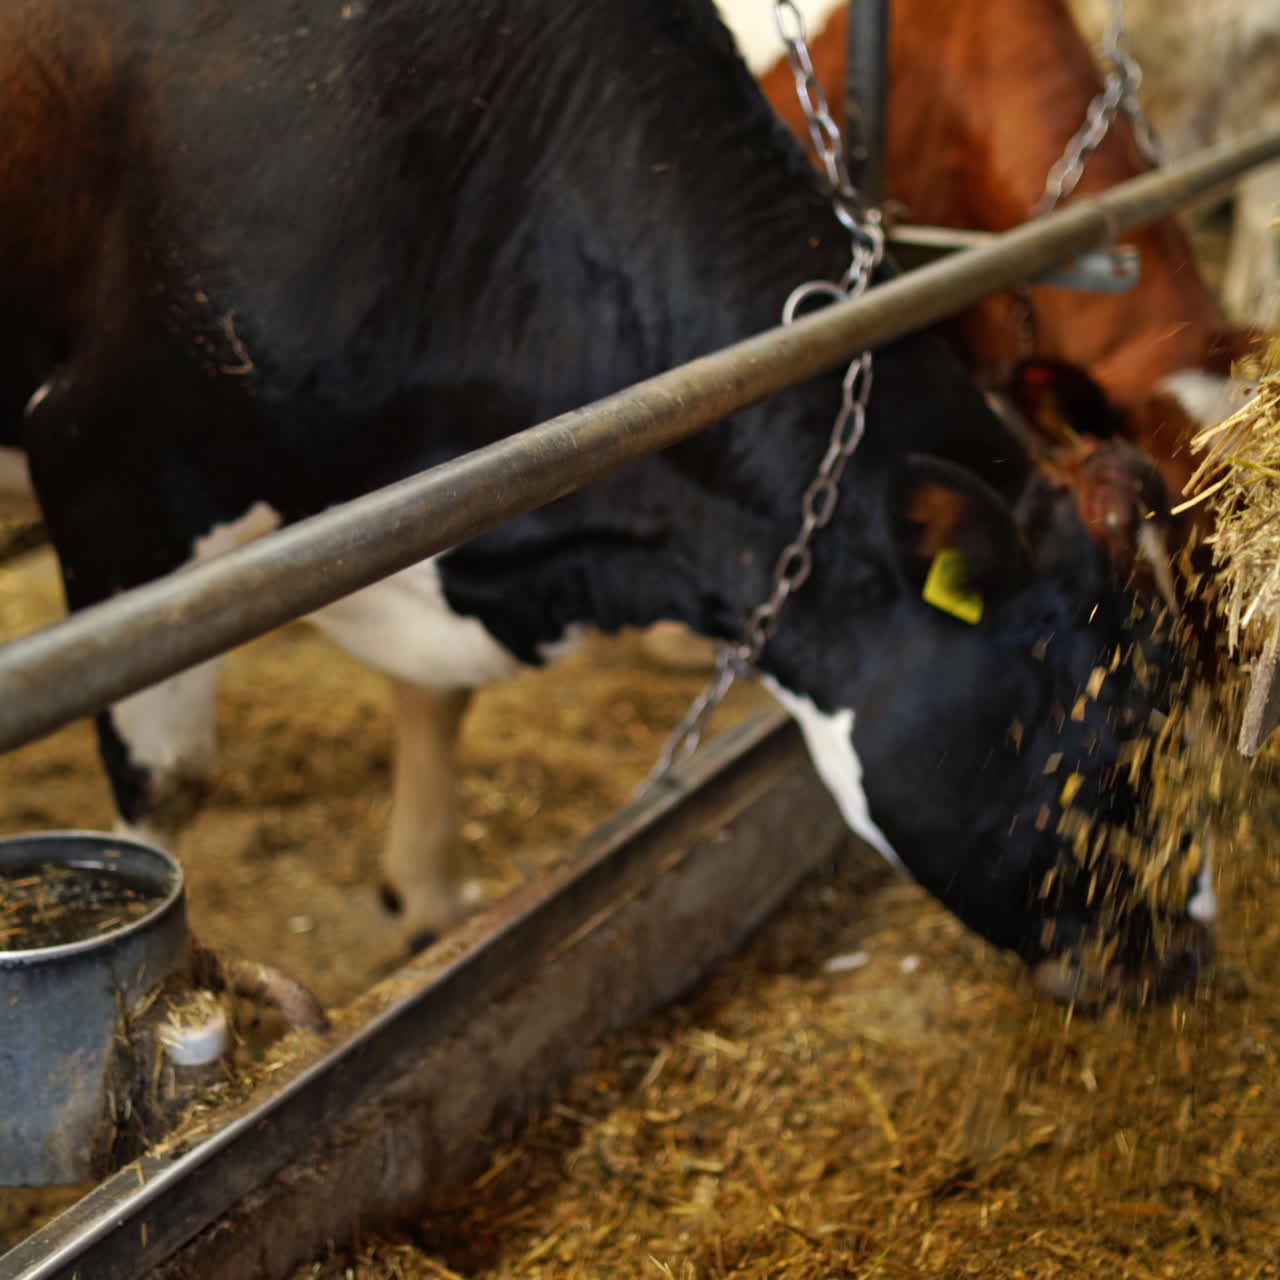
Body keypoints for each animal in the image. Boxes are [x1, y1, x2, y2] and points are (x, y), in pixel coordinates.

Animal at [2, 0, 1212, 1002]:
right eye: (1111, 720)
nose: (1188, 955)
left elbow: (437, 699)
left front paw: (430, 898)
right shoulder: (109, 462)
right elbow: (167, 787)